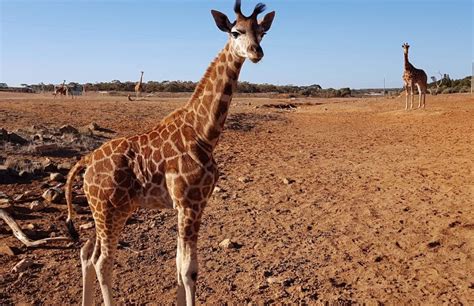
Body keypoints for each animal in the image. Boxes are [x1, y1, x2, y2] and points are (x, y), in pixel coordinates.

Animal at [65, 1, 276, 304]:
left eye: (262, 33)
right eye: (235, 32)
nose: (256, 52)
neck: (204, 133)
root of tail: (85, 160)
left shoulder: (189, 205)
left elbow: (178, 265)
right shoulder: (189, 203)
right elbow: (189, 270)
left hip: (104, 210)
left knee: (86, 252)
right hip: (109, 209)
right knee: (102, 262)